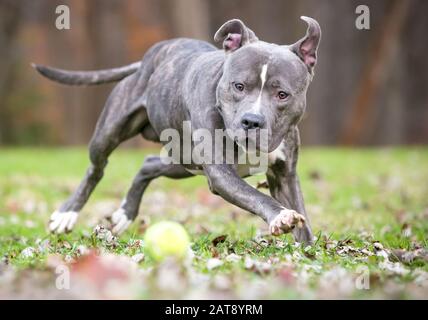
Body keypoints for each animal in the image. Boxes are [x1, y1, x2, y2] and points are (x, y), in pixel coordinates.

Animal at [34, 16, 320, 244]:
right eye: (238, 86)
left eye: (282, 94)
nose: (251, 121)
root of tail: (148, 58)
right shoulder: (221, 174)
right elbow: (256, 196)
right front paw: (281, 217)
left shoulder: (285, 176)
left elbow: (301, 218)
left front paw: (307, 252)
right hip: (109, 134)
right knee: (96, 168)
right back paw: (66, 214)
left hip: (184, 161)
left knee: (148, 164)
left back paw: (125, 213)